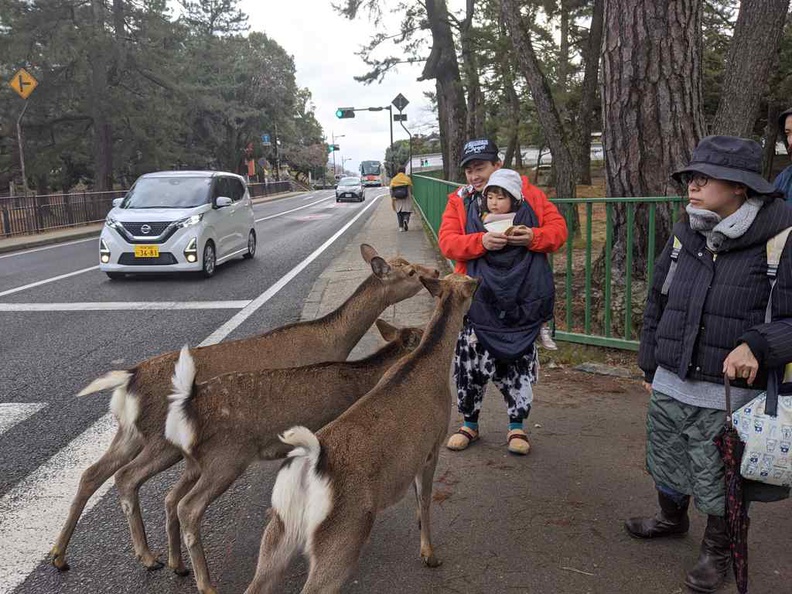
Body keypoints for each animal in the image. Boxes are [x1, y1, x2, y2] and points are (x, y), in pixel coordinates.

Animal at [161, 320, 426, 592]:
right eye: (422, 334)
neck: (368, 378)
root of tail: (185, 406)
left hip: (194, 462)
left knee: (171, 497)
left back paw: (176, 564)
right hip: (225, 458)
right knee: (188, 506)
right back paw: (205, 583)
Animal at [243, 272, 476, 592]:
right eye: (471, 284)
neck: (431, 368)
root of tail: (307, 468)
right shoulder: (432, 446)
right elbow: (425, 500)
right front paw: (430, 554)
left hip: (279, 529)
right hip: (344, 531)